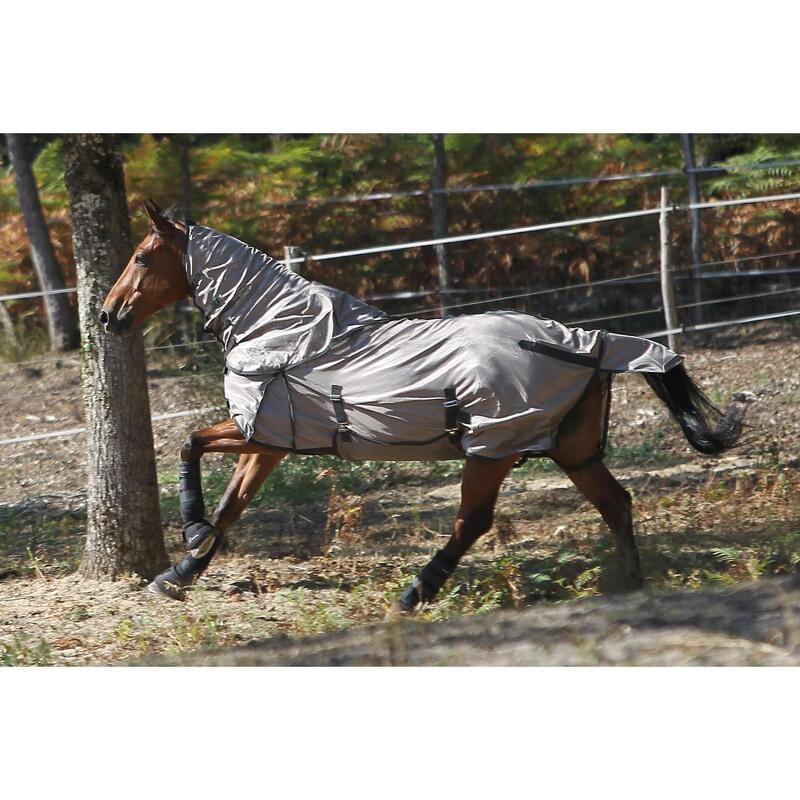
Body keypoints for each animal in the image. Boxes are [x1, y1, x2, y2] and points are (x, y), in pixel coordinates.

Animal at [100, 202, 744, 612]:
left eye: (141, 256)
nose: (108, 316)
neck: (282, 329)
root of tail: (585, 342)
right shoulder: (272, 441)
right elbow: (232, 503)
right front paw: (180, 572)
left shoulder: (256, 431)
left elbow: (191, 446)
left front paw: (188, 536)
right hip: (573, 452)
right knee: (616, 505)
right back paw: (628, 587)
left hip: (491, 450)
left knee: (472, 522)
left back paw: (415, 592)